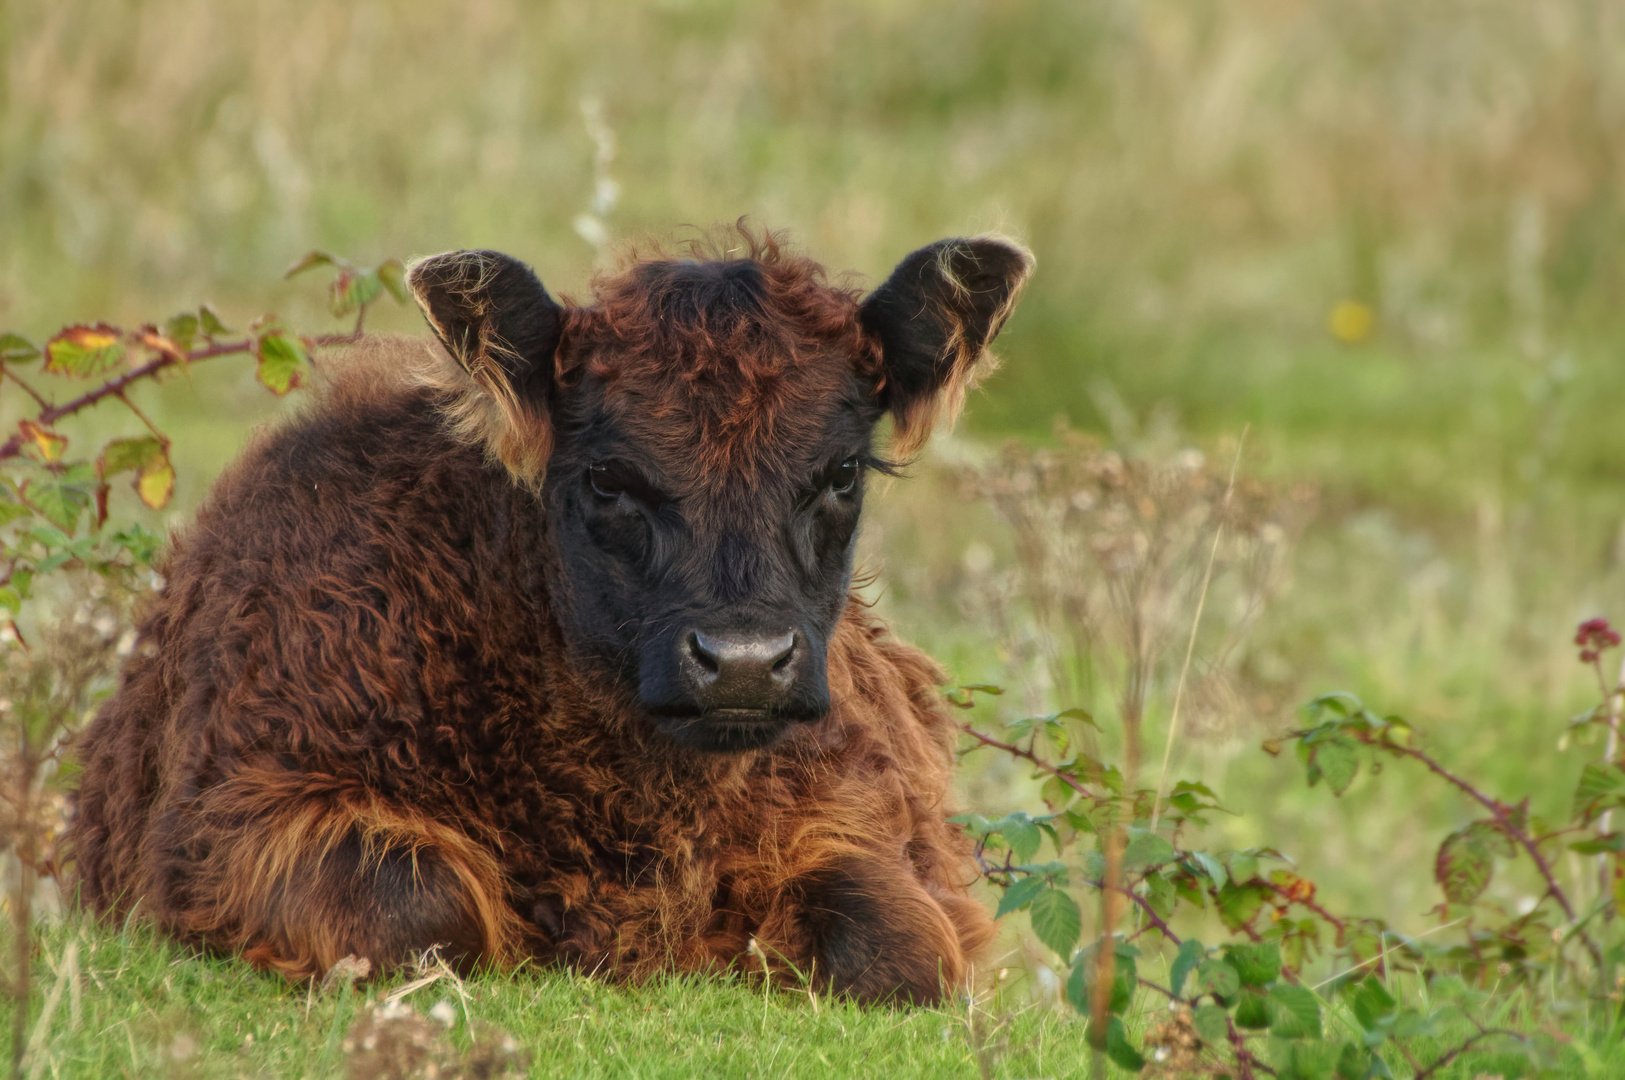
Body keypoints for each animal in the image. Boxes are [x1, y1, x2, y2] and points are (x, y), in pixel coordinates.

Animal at [66, 225, 1027, 1000]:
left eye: (841, 472)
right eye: (606, 475)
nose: (746, 662)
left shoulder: (867, 826)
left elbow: (896, 942)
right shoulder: (233, 820)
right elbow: (416, 908)